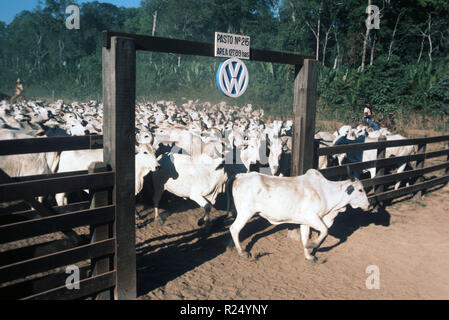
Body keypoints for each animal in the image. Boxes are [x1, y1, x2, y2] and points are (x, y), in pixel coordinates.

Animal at [226, 170, 370, 262]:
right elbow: (325, 231)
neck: (325, 192)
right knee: (234, 229)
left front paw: (309, 256)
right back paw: (242, 252)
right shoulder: (313, 217)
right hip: (245, 212)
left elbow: (305, 237)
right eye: (360, 190)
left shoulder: (305, 222)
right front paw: (312, 246)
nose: (368, 205)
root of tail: (240, 175)